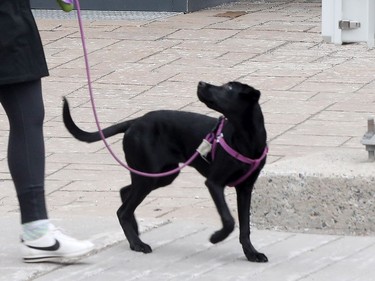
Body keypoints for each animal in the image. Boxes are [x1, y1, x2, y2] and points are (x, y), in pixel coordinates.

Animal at [64, 81, 270, 262]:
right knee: (123, 210)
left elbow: (245, 227)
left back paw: (135, 233)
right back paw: (137, 244)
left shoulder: (245, 189)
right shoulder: (214, 183)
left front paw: (252, 254)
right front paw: (216, 237)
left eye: (228, 88)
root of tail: (135, 121)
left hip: (162, 175)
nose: (201, 83)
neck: (245, 139)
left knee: (125, 193)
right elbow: (229, 220)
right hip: (150, 176)